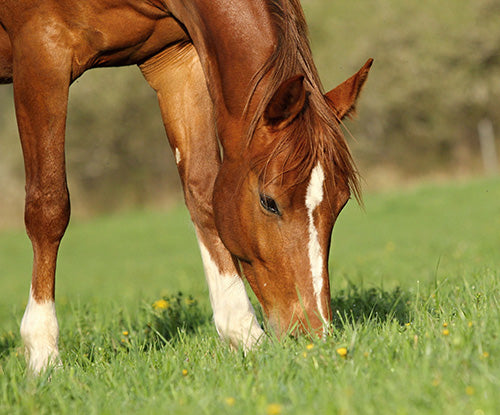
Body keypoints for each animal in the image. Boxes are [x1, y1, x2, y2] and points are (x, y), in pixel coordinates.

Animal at [0, 0, 372, 376]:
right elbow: (49, 206)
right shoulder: (42, 53)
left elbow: (202, 192)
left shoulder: (176, 60)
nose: (313, 335)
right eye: (270, 202)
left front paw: (244, 335)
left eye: (339, 204)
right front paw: (43, 355)